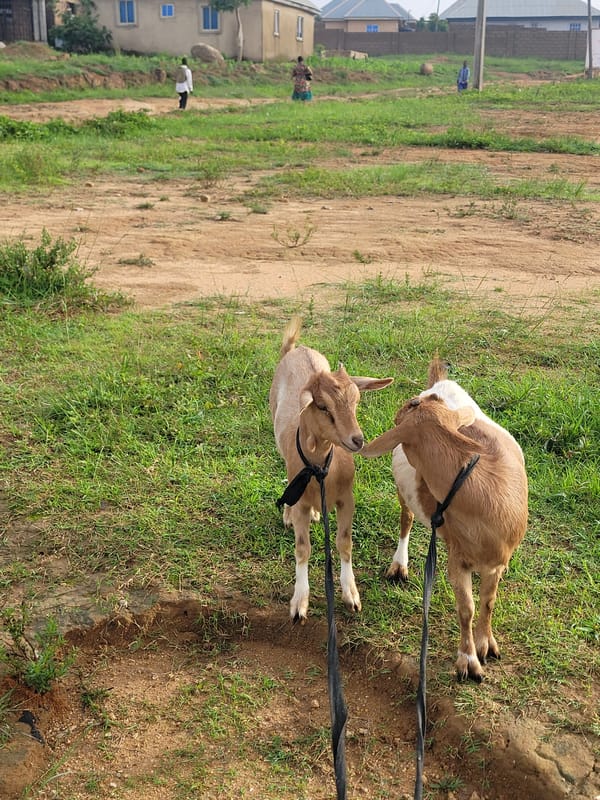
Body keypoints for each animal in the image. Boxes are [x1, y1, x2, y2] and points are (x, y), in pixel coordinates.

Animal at [270, 317, 393, 623]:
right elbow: (302, 548)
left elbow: (344, 542)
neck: (320, 470)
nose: (357, 439)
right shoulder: (301, 499)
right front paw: (299, 603)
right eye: (323, 406)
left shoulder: (346, 499)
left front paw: (351, 595)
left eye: (357, 401)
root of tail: (297, 349)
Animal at [361, 357, 528, 681]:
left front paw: (486, 645)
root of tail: (441, 381)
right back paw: (399, 566)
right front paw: (468, 662)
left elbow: (488, 602)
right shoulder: (458, 560)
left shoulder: (497, 563)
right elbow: (467, 608)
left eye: (411, 405)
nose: (398, 412)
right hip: (403, 493)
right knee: (406, 519)